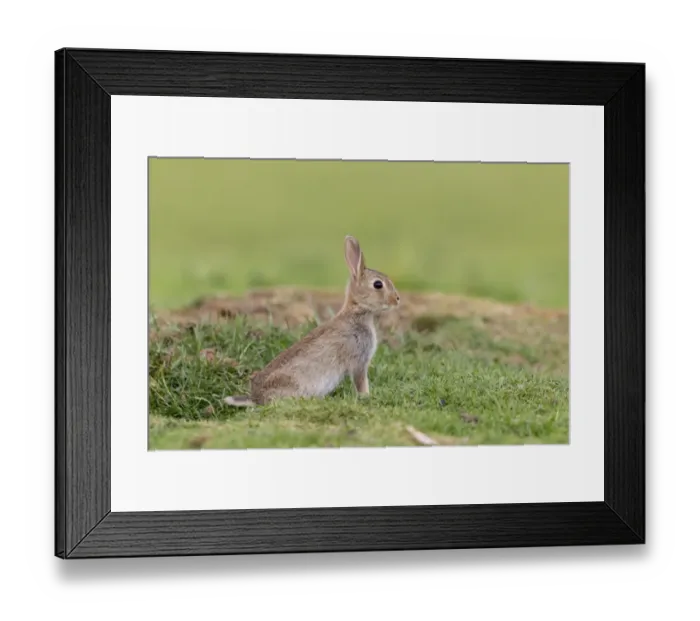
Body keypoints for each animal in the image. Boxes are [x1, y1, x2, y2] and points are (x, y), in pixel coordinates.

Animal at [223, 235, 400, 407]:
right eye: (378, 284)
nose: (397, 299)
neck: (357, 312)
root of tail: (256, 398)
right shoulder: (358, 361)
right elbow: (361, 382)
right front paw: (366, 397)